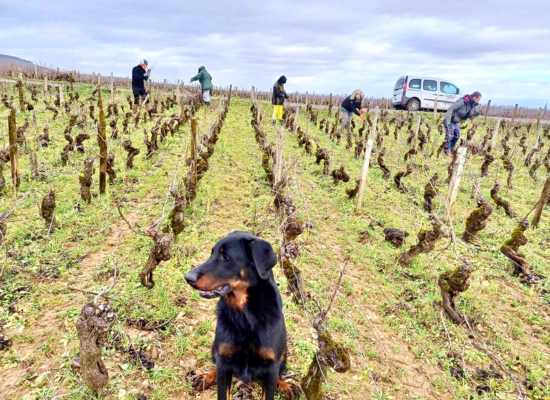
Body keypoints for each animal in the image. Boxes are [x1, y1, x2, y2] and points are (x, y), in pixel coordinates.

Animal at [185, 231, 300, 400]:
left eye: (226, 256)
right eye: (212, 253)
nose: (188, 278)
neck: (245, 315)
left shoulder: (271, 366)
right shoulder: (224, 360)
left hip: (283, 354)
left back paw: (285, 385)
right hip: (215, 349)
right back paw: (206, 377)